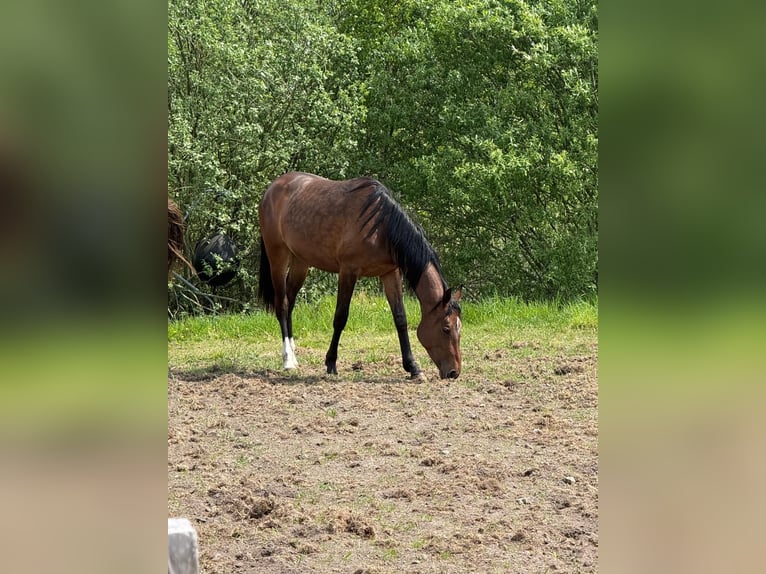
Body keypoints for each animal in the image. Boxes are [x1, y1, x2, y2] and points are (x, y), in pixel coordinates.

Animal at [257, 172, 462, 379]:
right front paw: (331, 363)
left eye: (458, 328)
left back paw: (293, 353)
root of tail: (273, 188)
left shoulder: (390, 273)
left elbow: (400, 319)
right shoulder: (348, 271)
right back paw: (288, 360)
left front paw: (413, 367)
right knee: (282, 305)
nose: (454, 372)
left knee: (290, 303)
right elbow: (340, 317)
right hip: (278, 257)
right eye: (446, 328)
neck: (381, 228)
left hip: (301, 262)